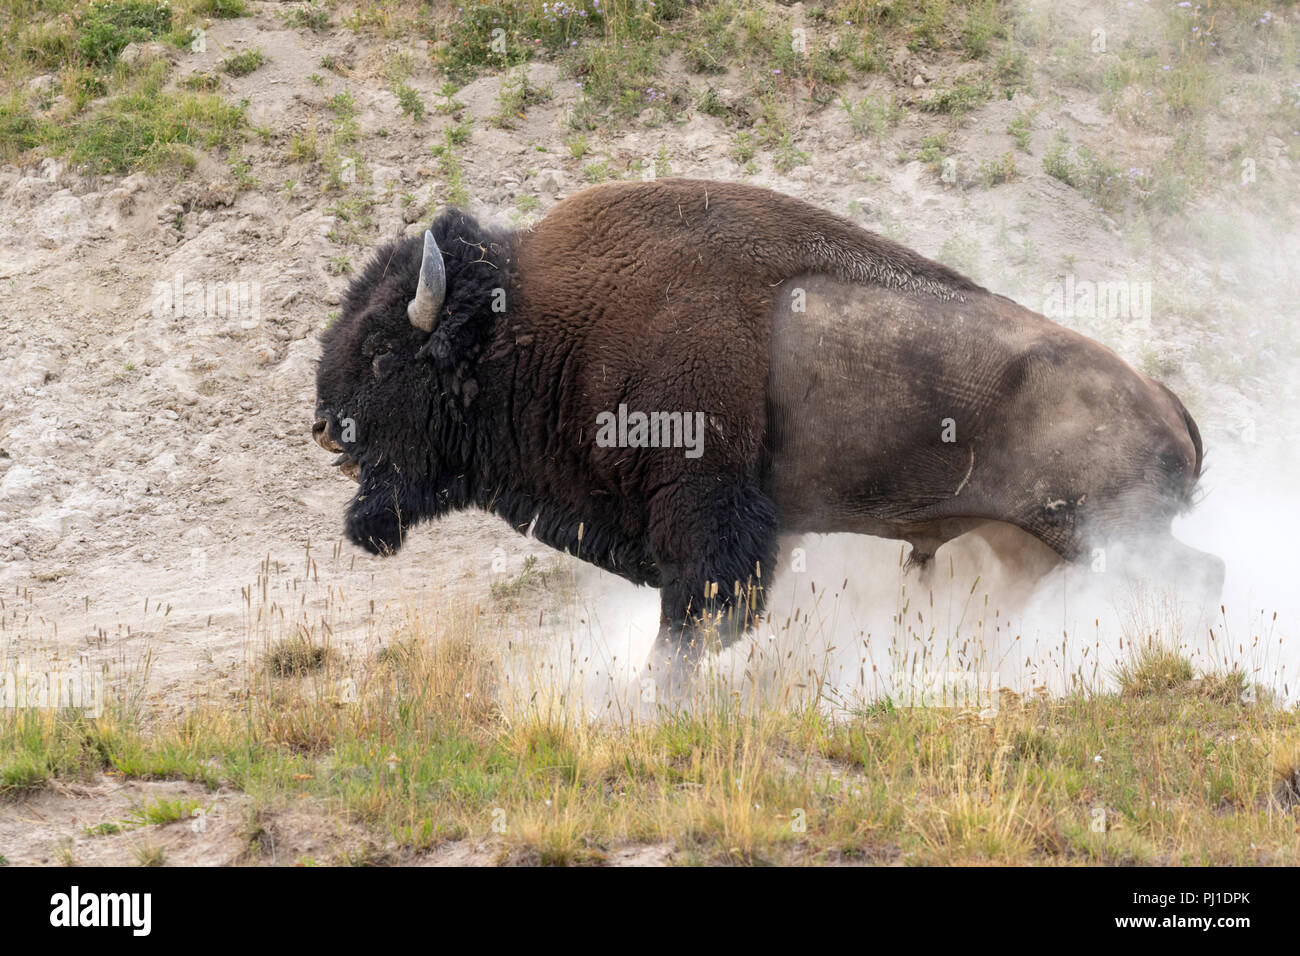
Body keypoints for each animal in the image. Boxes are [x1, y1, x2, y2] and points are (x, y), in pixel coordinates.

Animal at [309, 180, 1222, 665]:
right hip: (1030, 541)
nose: (324, 427)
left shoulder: (707, 516)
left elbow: (695, 623)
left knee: (1196, 574)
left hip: (1104, 533)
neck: (533, 324)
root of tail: (1170, 403)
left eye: (383, 351)